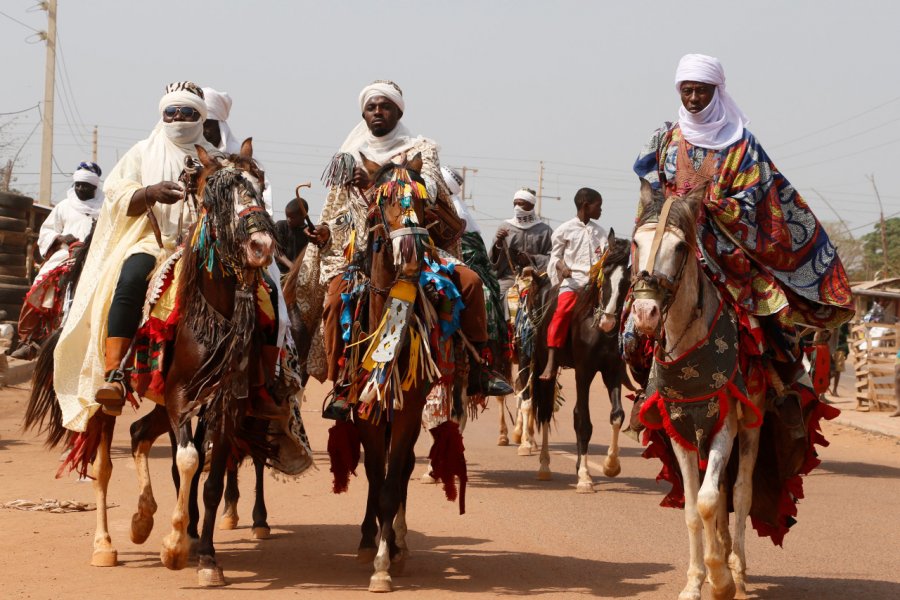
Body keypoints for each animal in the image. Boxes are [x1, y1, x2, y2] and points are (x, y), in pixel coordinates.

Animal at [624, 179, 768, 600]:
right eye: (635, 242)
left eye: (680, 247)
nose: (645, 314)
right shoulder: (680, 431)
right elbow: (692, 508)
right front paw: (694, 581)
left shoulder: (724, 425)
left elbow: (708, 500)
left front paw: (720, 580)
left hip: (752, 423)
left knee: (740, 491)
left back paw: (737, 567)